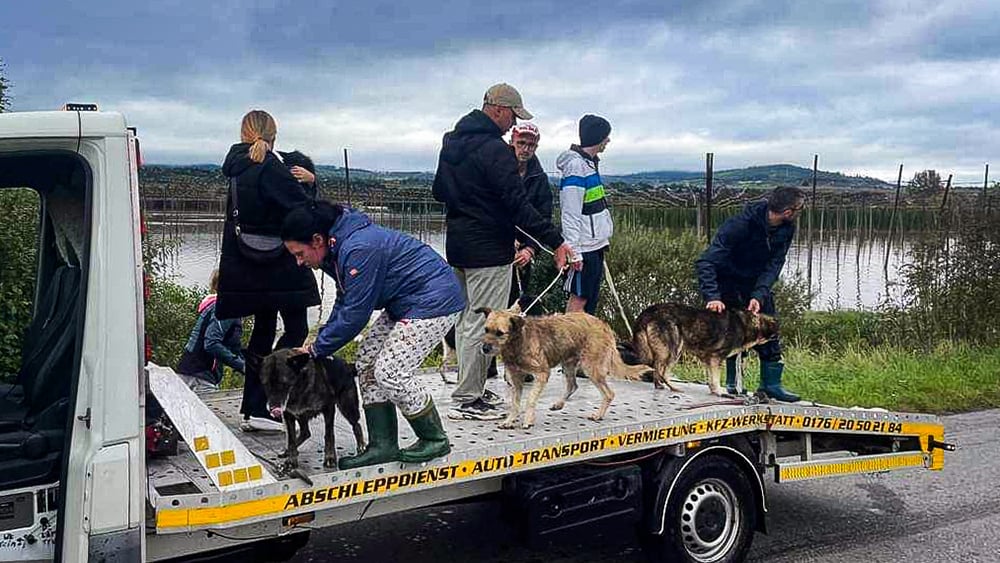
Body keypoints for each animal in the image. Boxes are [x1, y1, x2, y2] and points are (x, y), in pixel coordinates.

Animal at [474, 306, 648, 430]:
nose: (485, 348)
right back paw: (559, 403)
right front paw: (510, 420)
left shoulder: (542, 374)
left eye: (500, 333)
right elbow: (515, 403)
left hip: (591, 368)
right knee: (573, 385)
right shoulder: (516, 379)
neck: (517, 342)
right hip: (568, 364)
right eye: (486, 330)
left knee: (608, 393)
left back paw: (598, 415)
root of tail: (603, 324)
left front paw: (528, 420)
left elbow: (530, 399)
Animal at [632, 304, 780, 396]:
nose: (779, 338)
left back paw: (661, 386)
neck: (745, 324)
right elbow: (715, 379)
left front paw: (713, 390)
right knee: (660, 369)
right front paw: (719, 392)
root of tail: (648, 312)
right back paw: (673, 387)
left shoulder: (709, 360)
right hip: (674, 348)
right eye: (775, 331)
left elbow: (710, 378)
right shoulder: (716, 358)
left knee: (658, 370)